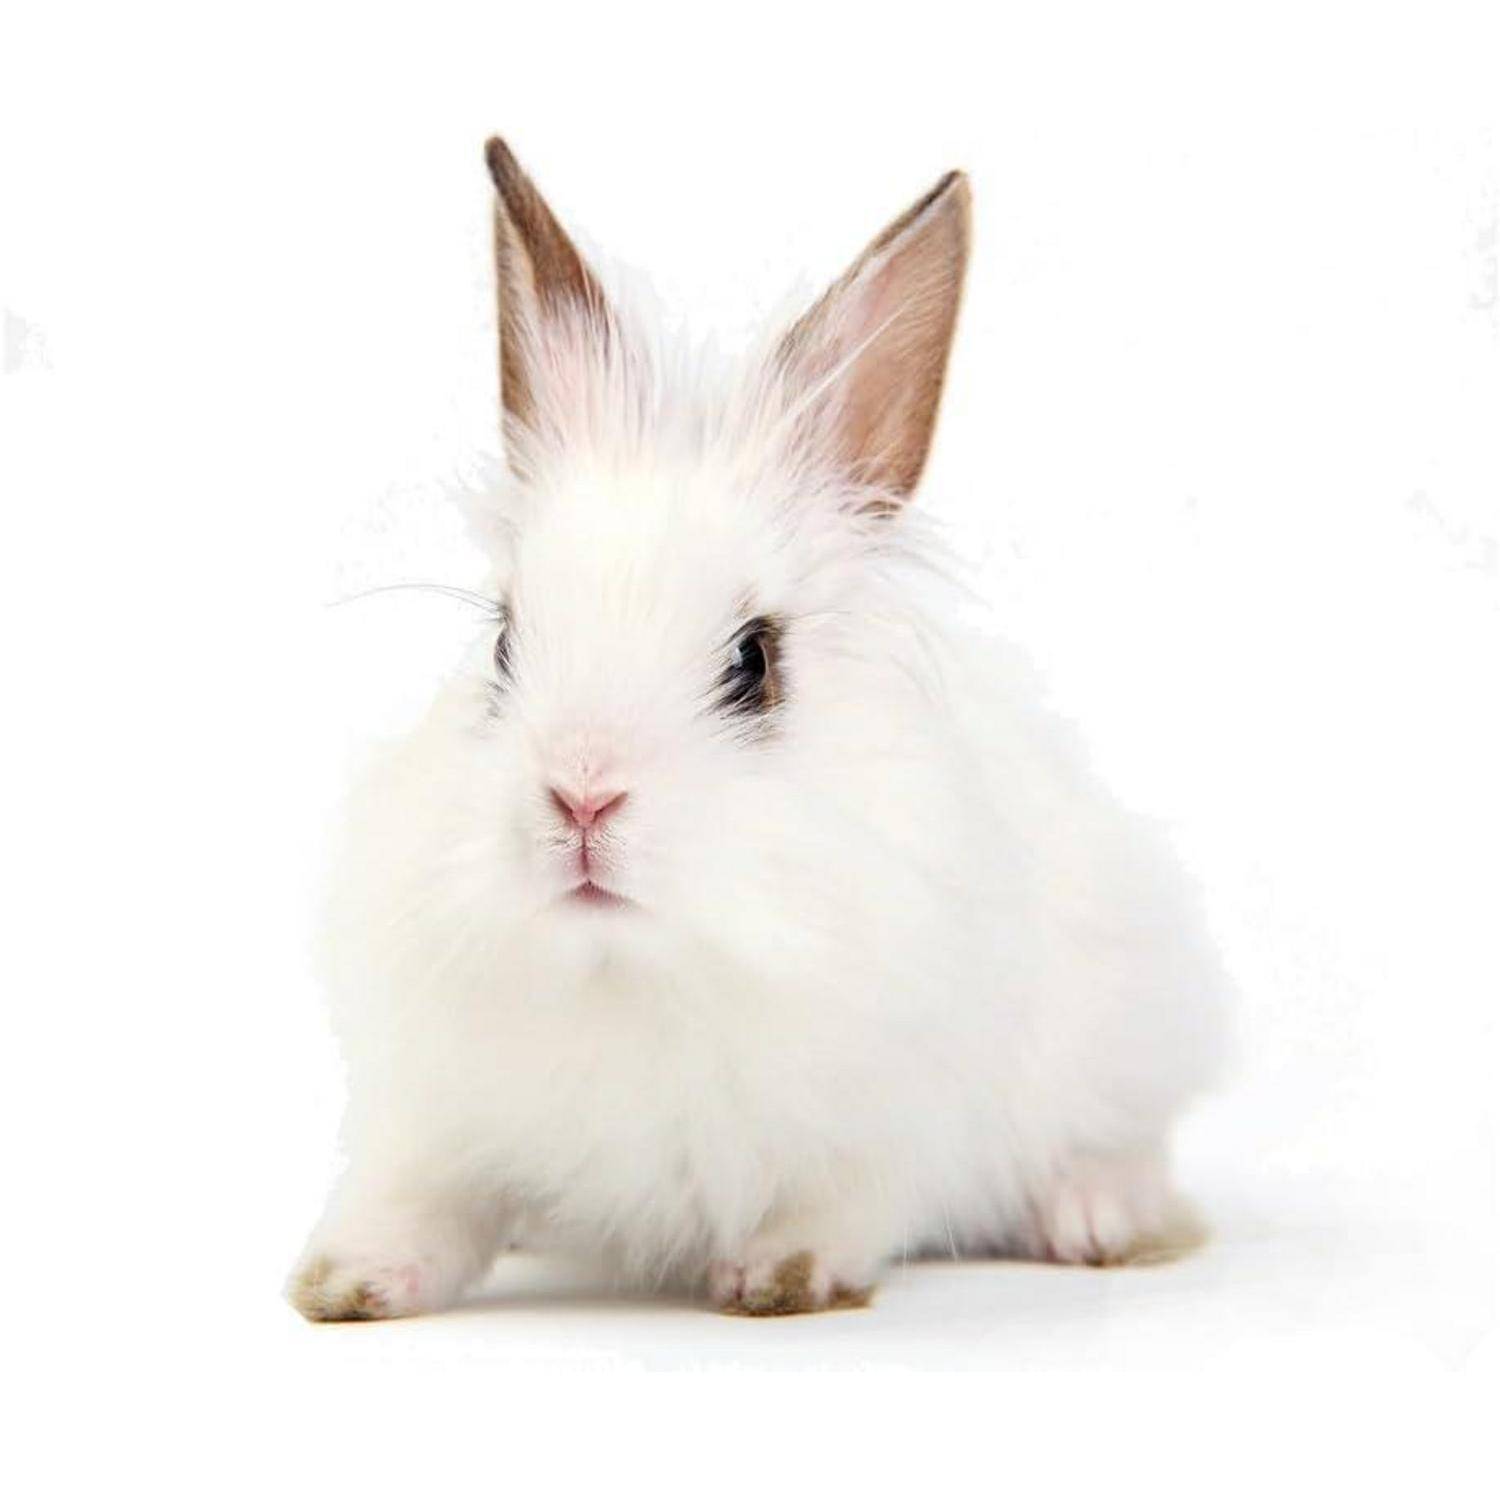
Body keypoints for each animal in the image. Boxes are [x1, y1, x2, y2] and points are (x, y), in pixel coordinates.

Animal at [287, 137, 1228, 1321]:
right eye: (504, 645)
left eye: (754, 663)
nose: (583, 796)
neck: (634, 975)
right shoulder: (441, 1115)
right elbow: (424, 1200)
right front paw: (349, 1278)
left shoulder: (903, 1116)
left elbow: (853, 1199)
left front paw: (781, 1273)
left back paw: (1098, 1218)